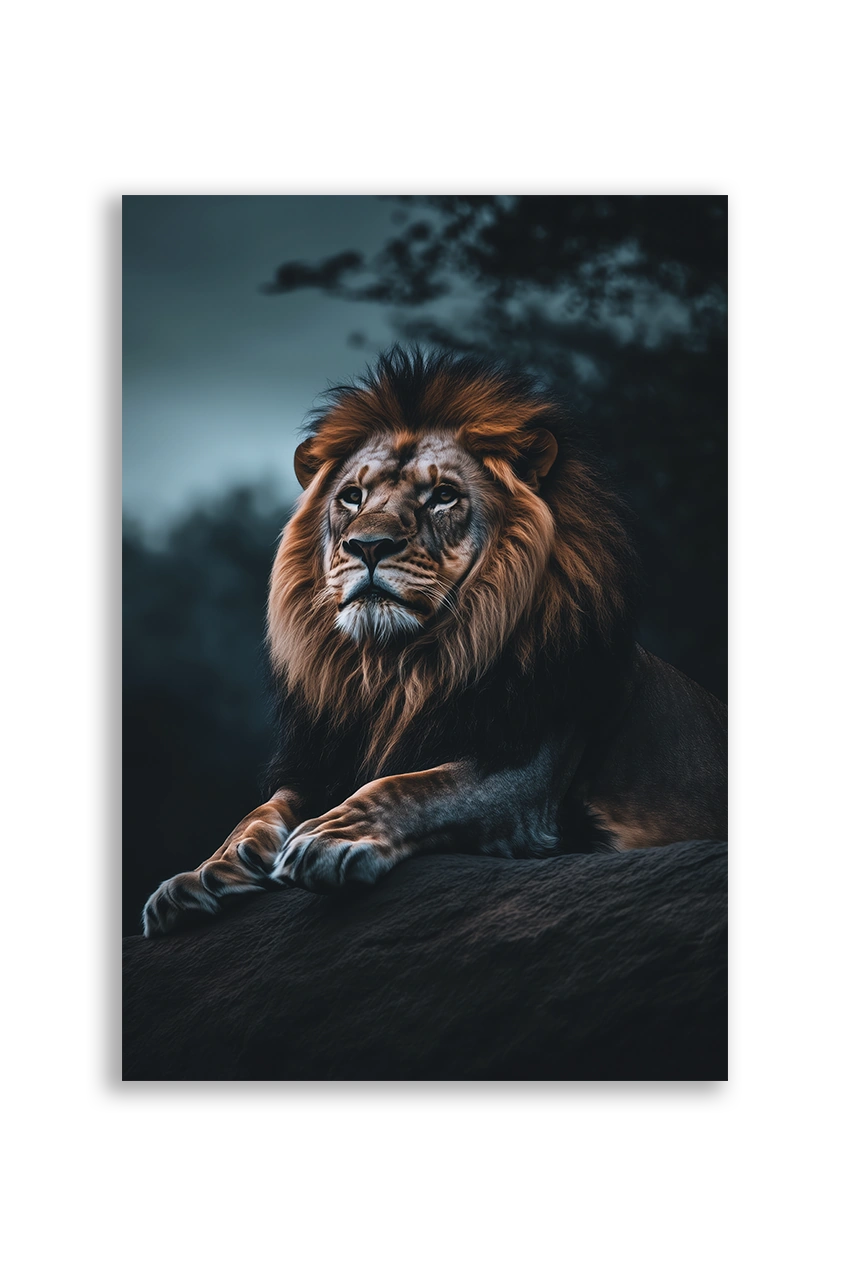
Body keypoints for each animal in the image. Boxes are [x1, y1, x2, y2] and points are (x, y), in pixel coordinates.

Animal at [142, 348, 727, 937]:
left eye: (443, 496)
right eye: (352, 497)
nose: (366, 545)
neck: (395, 669)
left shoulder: (524, 774)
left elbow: (411, 786)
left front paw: (329, 837)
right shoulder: (320, 765)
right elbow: (256, 814)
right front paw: (201, 874)